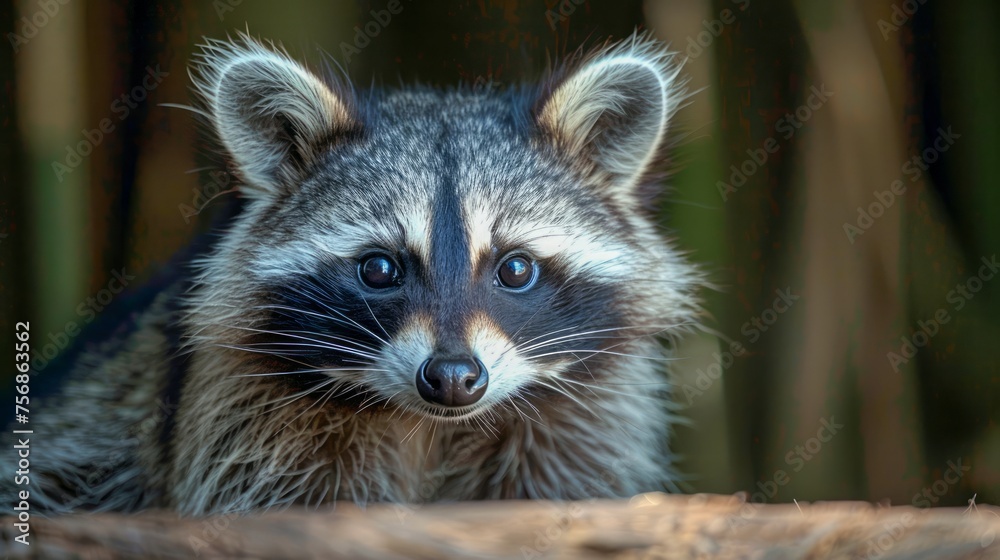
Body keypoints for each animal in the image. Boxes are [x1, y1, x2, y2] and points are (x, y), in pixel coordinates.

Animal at [3, 29, 704, 512]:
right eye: (379, 268)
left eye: (515, 269)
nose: (453, 378)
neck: (433, 426)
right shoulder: (240, 413)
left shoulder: (590, 417)